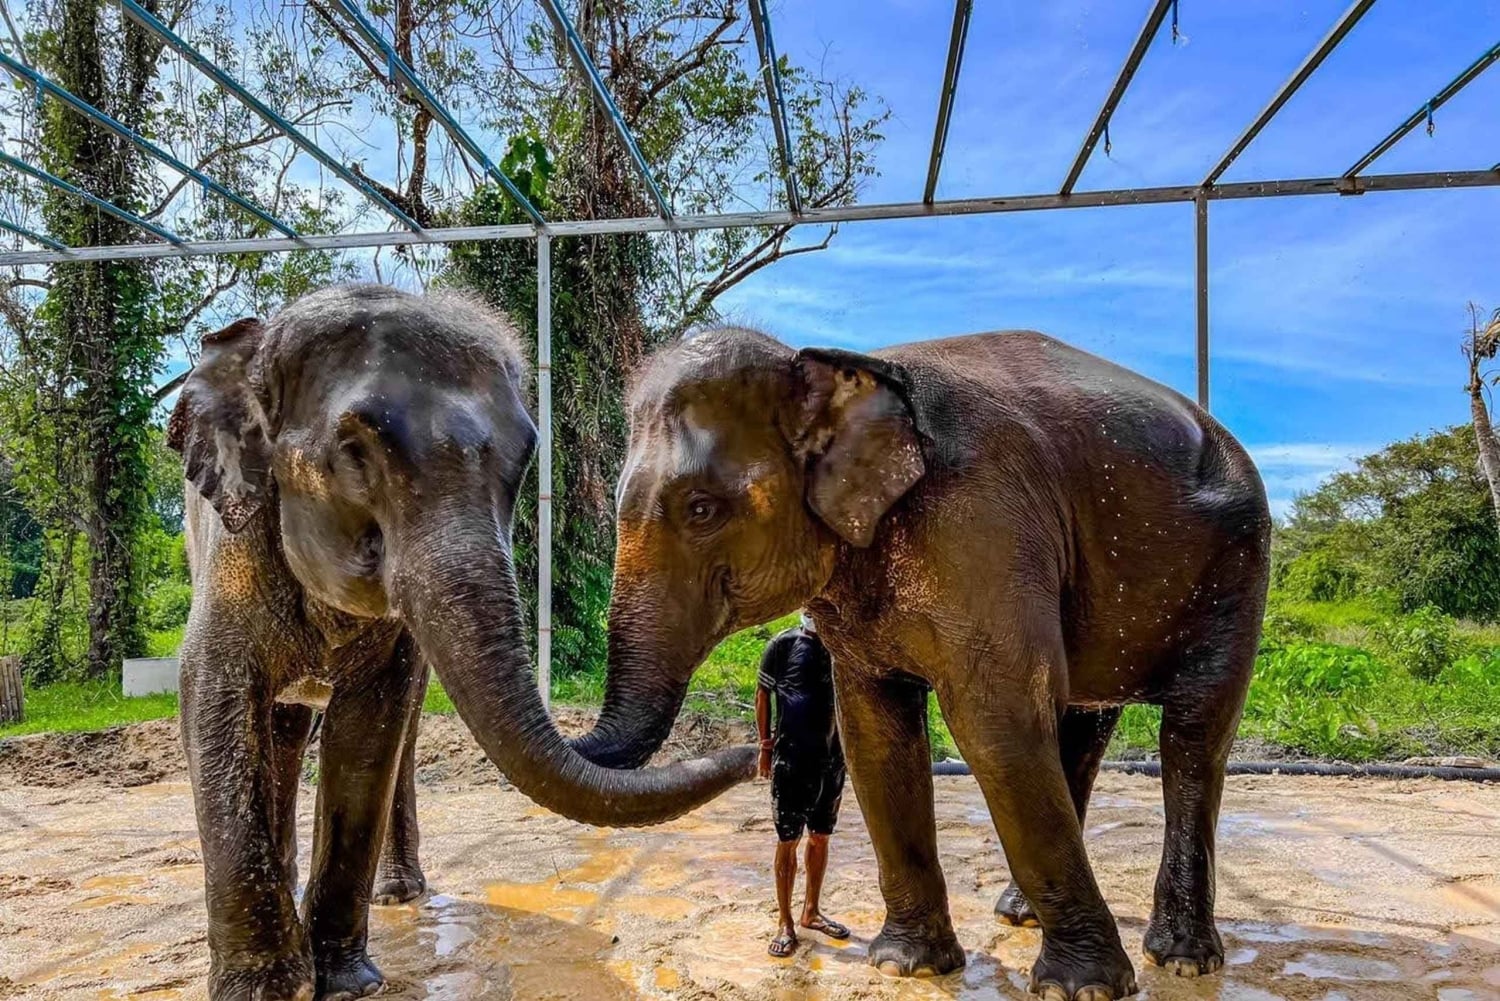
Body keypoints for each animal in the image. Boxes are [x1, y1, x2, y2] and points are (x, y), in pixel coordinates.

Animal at [168, 284, 753, 1001]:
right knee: (279, 727)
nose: (758, 751)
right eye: (355, 451)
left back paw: (398, 894)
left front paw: (349, 985)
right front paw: (271, 991)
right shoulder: (233, 549)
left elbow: (371, 726)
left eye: (525, 459)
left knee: (376, 729)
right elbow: (212, 696)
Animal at [572, 326, 1272, 1000]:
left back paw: (1183, 959)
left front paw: (1084, 989)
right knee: (1082, 726)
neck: (833, 364)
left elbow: (996, 726)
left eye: (701, 509)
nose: (758, 758)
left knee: (1193, 735)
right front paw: (906, 966)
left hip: (1238, 568)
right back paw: (1019, 914)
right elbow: (875, 735)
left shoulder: (985, 527)